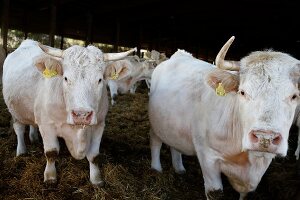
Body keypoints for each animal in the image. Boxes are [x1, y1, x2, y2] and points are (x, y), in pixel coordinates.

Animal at [1, 39, 135, 186]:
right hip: (14, 110)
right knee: (19, 128)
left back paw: (34, 137)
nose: (82, 115)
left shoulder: (99, 125)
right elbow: (51, 152)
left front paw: (96, 179)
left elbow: (94, 156)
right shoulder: (47, 125)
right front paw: (50, 177)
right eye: (65, 78)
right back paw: (21, 151)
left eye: (100, 80)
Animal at [148, 36, 300, 199]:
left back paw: (179, 168)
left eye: (294, 96)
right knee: (155, 142)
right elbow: (214, 191)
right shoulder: (207, 155)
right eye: (242, 92)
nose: (264, 138)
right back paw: (156, 169)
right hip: (155, 124)